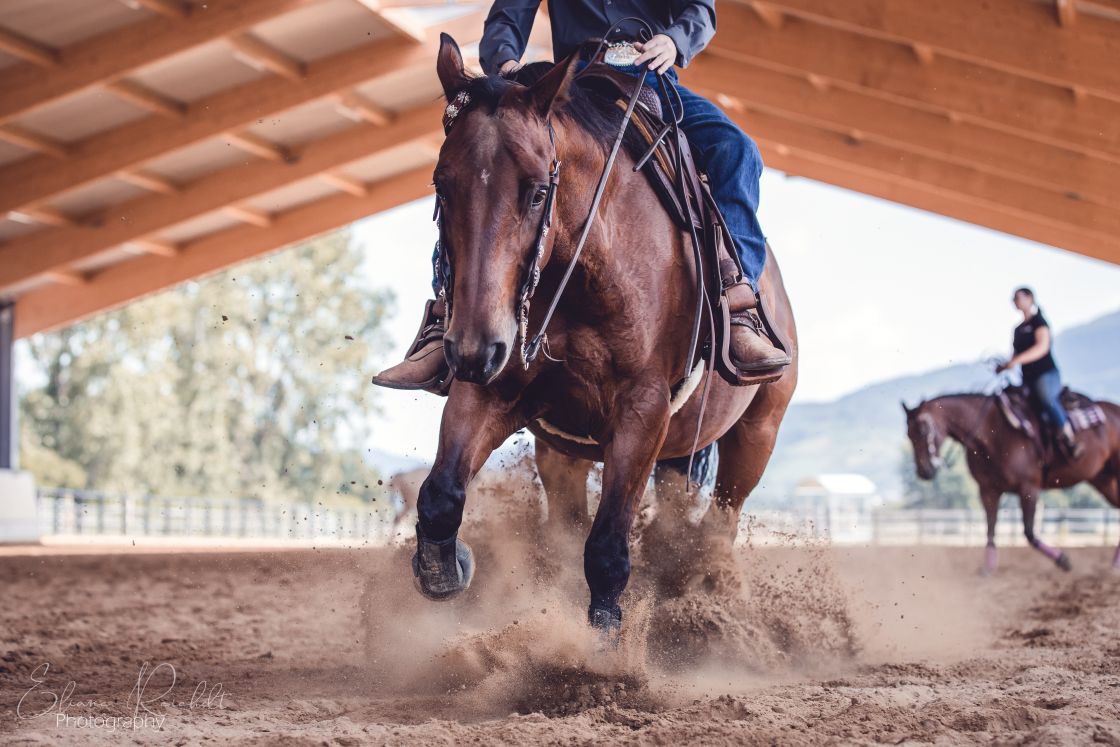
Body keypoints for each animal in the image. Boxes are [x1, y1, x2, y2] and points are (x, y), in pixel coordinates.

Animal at [902, 394, 1120, 575]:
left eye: (923, 429)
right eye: (908, 434)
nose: (924, 471)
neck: (992, 432)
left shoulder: (1029, 488)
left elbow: (1029, 532)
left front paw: (1063, 560)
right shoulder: (988, 490)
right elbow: (990, 527)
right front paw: (988, 568)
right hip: (1103, 480)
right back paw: (1114, 565)